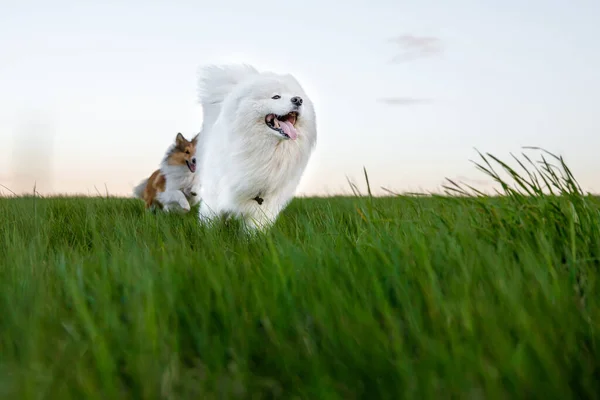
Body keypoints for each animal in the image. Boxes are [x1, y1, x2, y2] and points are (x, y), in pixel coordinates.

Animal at [196, 65, 318, 231]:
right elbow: (211, 220)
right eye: (276, 97)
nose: (298, 100)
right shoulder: (216, 194)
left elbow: (254, 229)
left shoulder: (264, 203)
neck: (265, 151)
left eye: (297, 96)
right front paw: (209, 234)